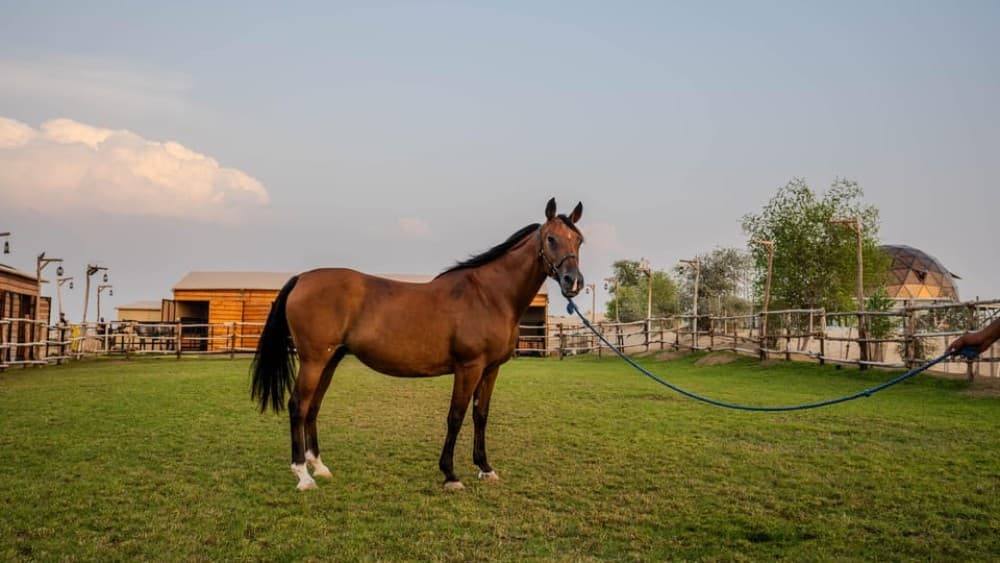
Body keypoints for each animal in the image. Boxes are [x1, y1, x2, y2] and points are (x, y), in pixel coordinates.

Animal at [251, 198, 585, 491]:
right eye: (551, 238)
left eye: (579, 241)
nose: (573, 282)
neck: (490, 296)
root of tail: (302, 278)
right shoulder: (469, 367)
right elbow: (455, 417)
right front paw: (450, 475)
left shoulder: (490, 370)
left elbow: (480, 416)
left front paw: (485, 468)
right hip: (313, 360)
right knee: (298, 405)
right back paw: (303, 476)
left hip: (329, 361)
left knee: (313, 406)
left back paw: (319, 467)